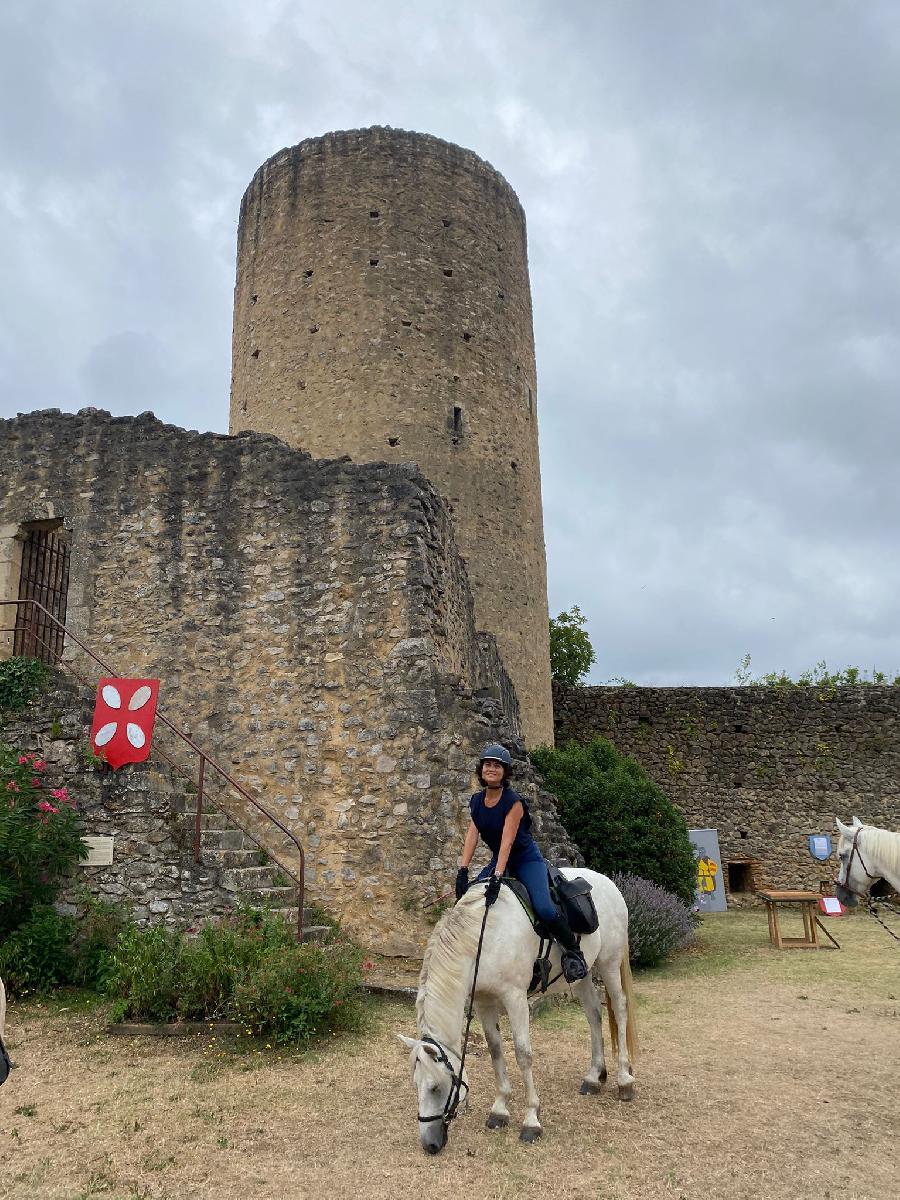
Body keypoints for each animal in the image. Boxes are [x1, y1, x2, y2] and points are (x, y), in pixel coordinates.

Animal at [398, 873, 638, 1152]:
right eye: (415, 1086)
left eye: (435, 1088)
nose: (430, 1144)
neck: (483, 939)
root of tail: (607, 882)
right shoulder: (483, 1001)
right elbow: (495, 1050)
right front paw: (500, 1109)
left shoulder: (515, 998)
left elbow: (523, 1054)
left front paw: (531, 1119)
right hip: (584, 974)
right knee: (593, 1015)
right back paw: (593, 1076)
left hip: (609, 963)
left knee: (619, 1009)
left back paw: (624, 1079)